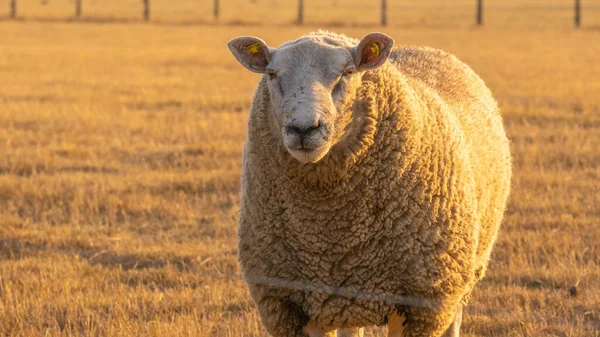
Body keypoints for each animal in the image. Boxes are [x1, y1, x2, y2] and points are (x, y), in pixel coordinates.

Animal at [225, 29, 510, 336]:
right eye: (272, 74)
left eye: (348, 72)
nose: (303, 128)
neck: (329, 230)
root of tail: (427, 49)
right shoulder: (293, 301)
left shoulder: (419, 301)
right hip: (349, 296)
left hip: (459, 273)